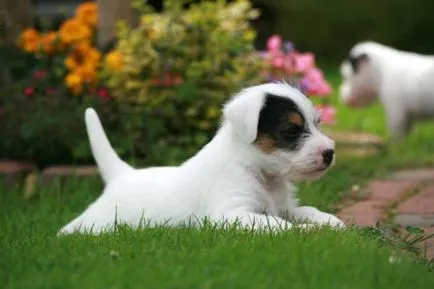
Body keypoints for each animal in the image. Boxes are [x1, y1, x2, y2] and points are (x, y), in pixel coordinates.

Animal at [58, 81, 342, 234]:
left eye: (317, 123)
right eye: (292, 130)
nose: (329, 153)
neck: (259, 172)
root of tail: (122, 175)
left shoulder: (284, 207)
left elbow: (305, 210)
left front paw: (329, 221)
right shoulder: (231, 213)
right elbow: (275, 224)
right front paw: (306, 231)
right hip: (101, 220)